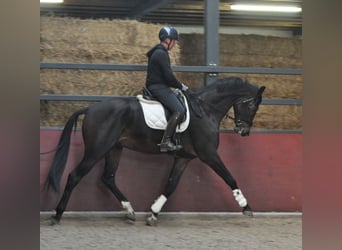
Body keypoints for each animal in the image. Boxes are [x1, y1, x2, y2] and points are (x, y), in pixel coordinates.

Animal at [44, 76, 264, 227]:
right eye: (253, 105)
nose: (243, 131)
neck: (206, 110)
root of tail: (89, 109)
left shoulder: (184, 157)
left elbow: (171, 184)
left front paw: (153, 213)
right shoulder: (209, 154)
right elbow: (229, 177)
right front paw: (246, 206)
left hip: (114, 149)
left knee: (108, 178)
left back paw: (130, 210)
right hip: (97, 150)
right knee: (74, 176)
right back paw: (57, 215)